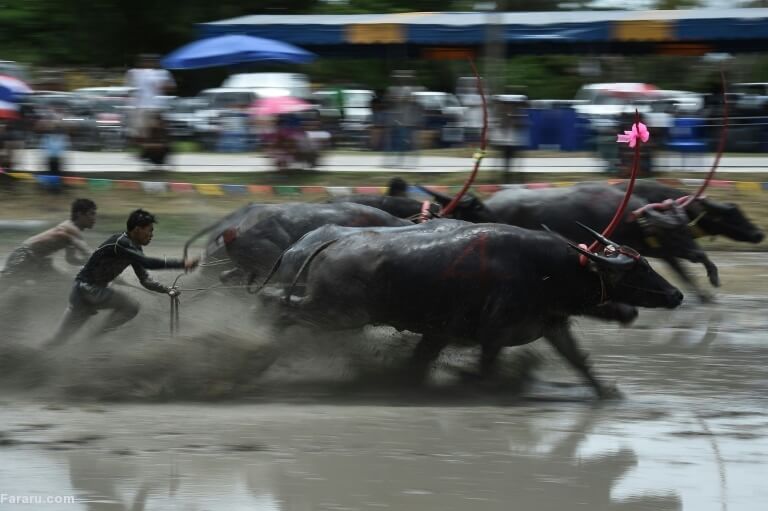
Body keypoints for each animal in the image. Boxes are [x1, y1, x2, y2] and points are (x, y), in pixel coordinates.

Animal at [260, 222, 680, 398]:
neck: (545, 270)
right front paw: (469, 381)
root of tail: (328, 244)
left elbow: (578, 360)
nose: (676, 294)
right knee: (279, 309)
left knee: (277, 304)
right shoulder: (493, 334)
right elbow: (485, 369)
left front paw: (606, 391)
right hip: (339, 314)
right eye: (639, 270)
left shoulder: (550, 326)